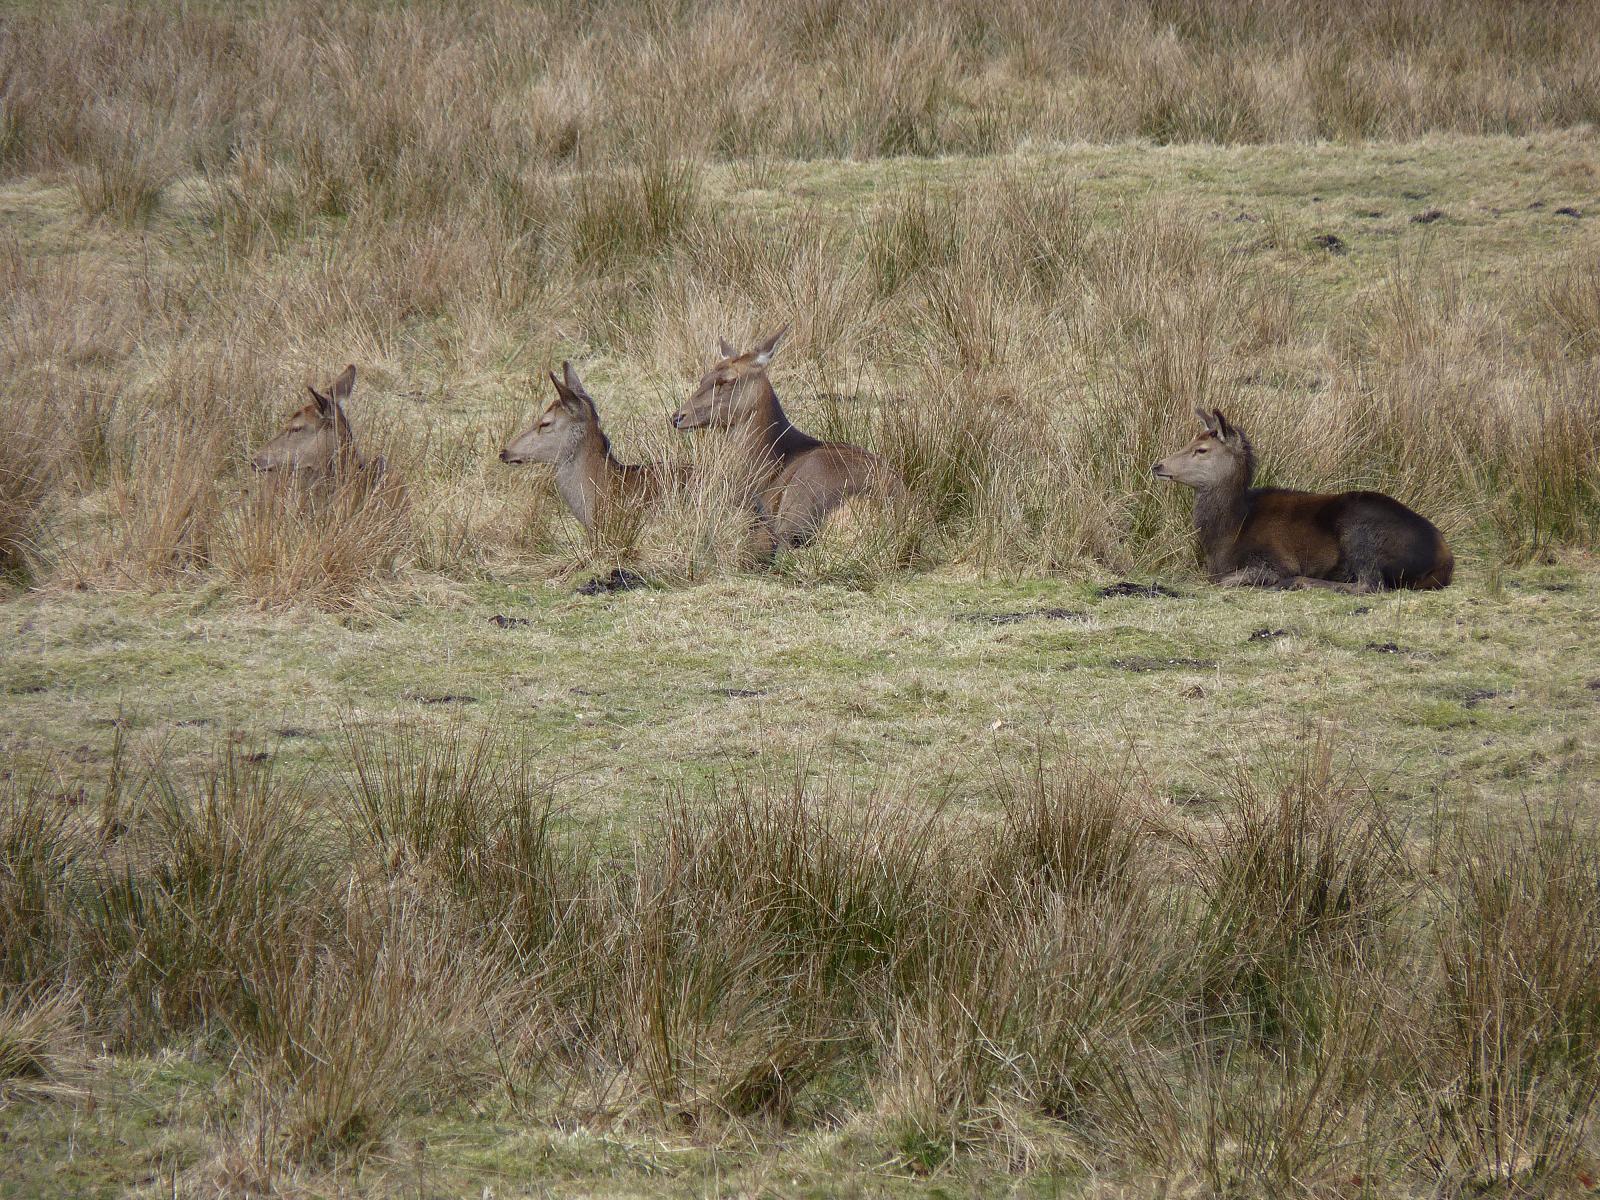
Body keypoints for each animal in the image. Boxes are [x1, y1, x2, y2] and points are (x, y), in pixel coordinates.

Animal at [1152, 408, 1453, 591]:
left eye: (1201, 449)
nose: (1157, 465)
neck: (1227, 533)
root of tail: (1445, 561)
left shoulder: (1275, 559)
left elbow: (1228, 580)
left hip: (1361, 531)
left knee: (1369, 584)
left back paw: (1302, 582)